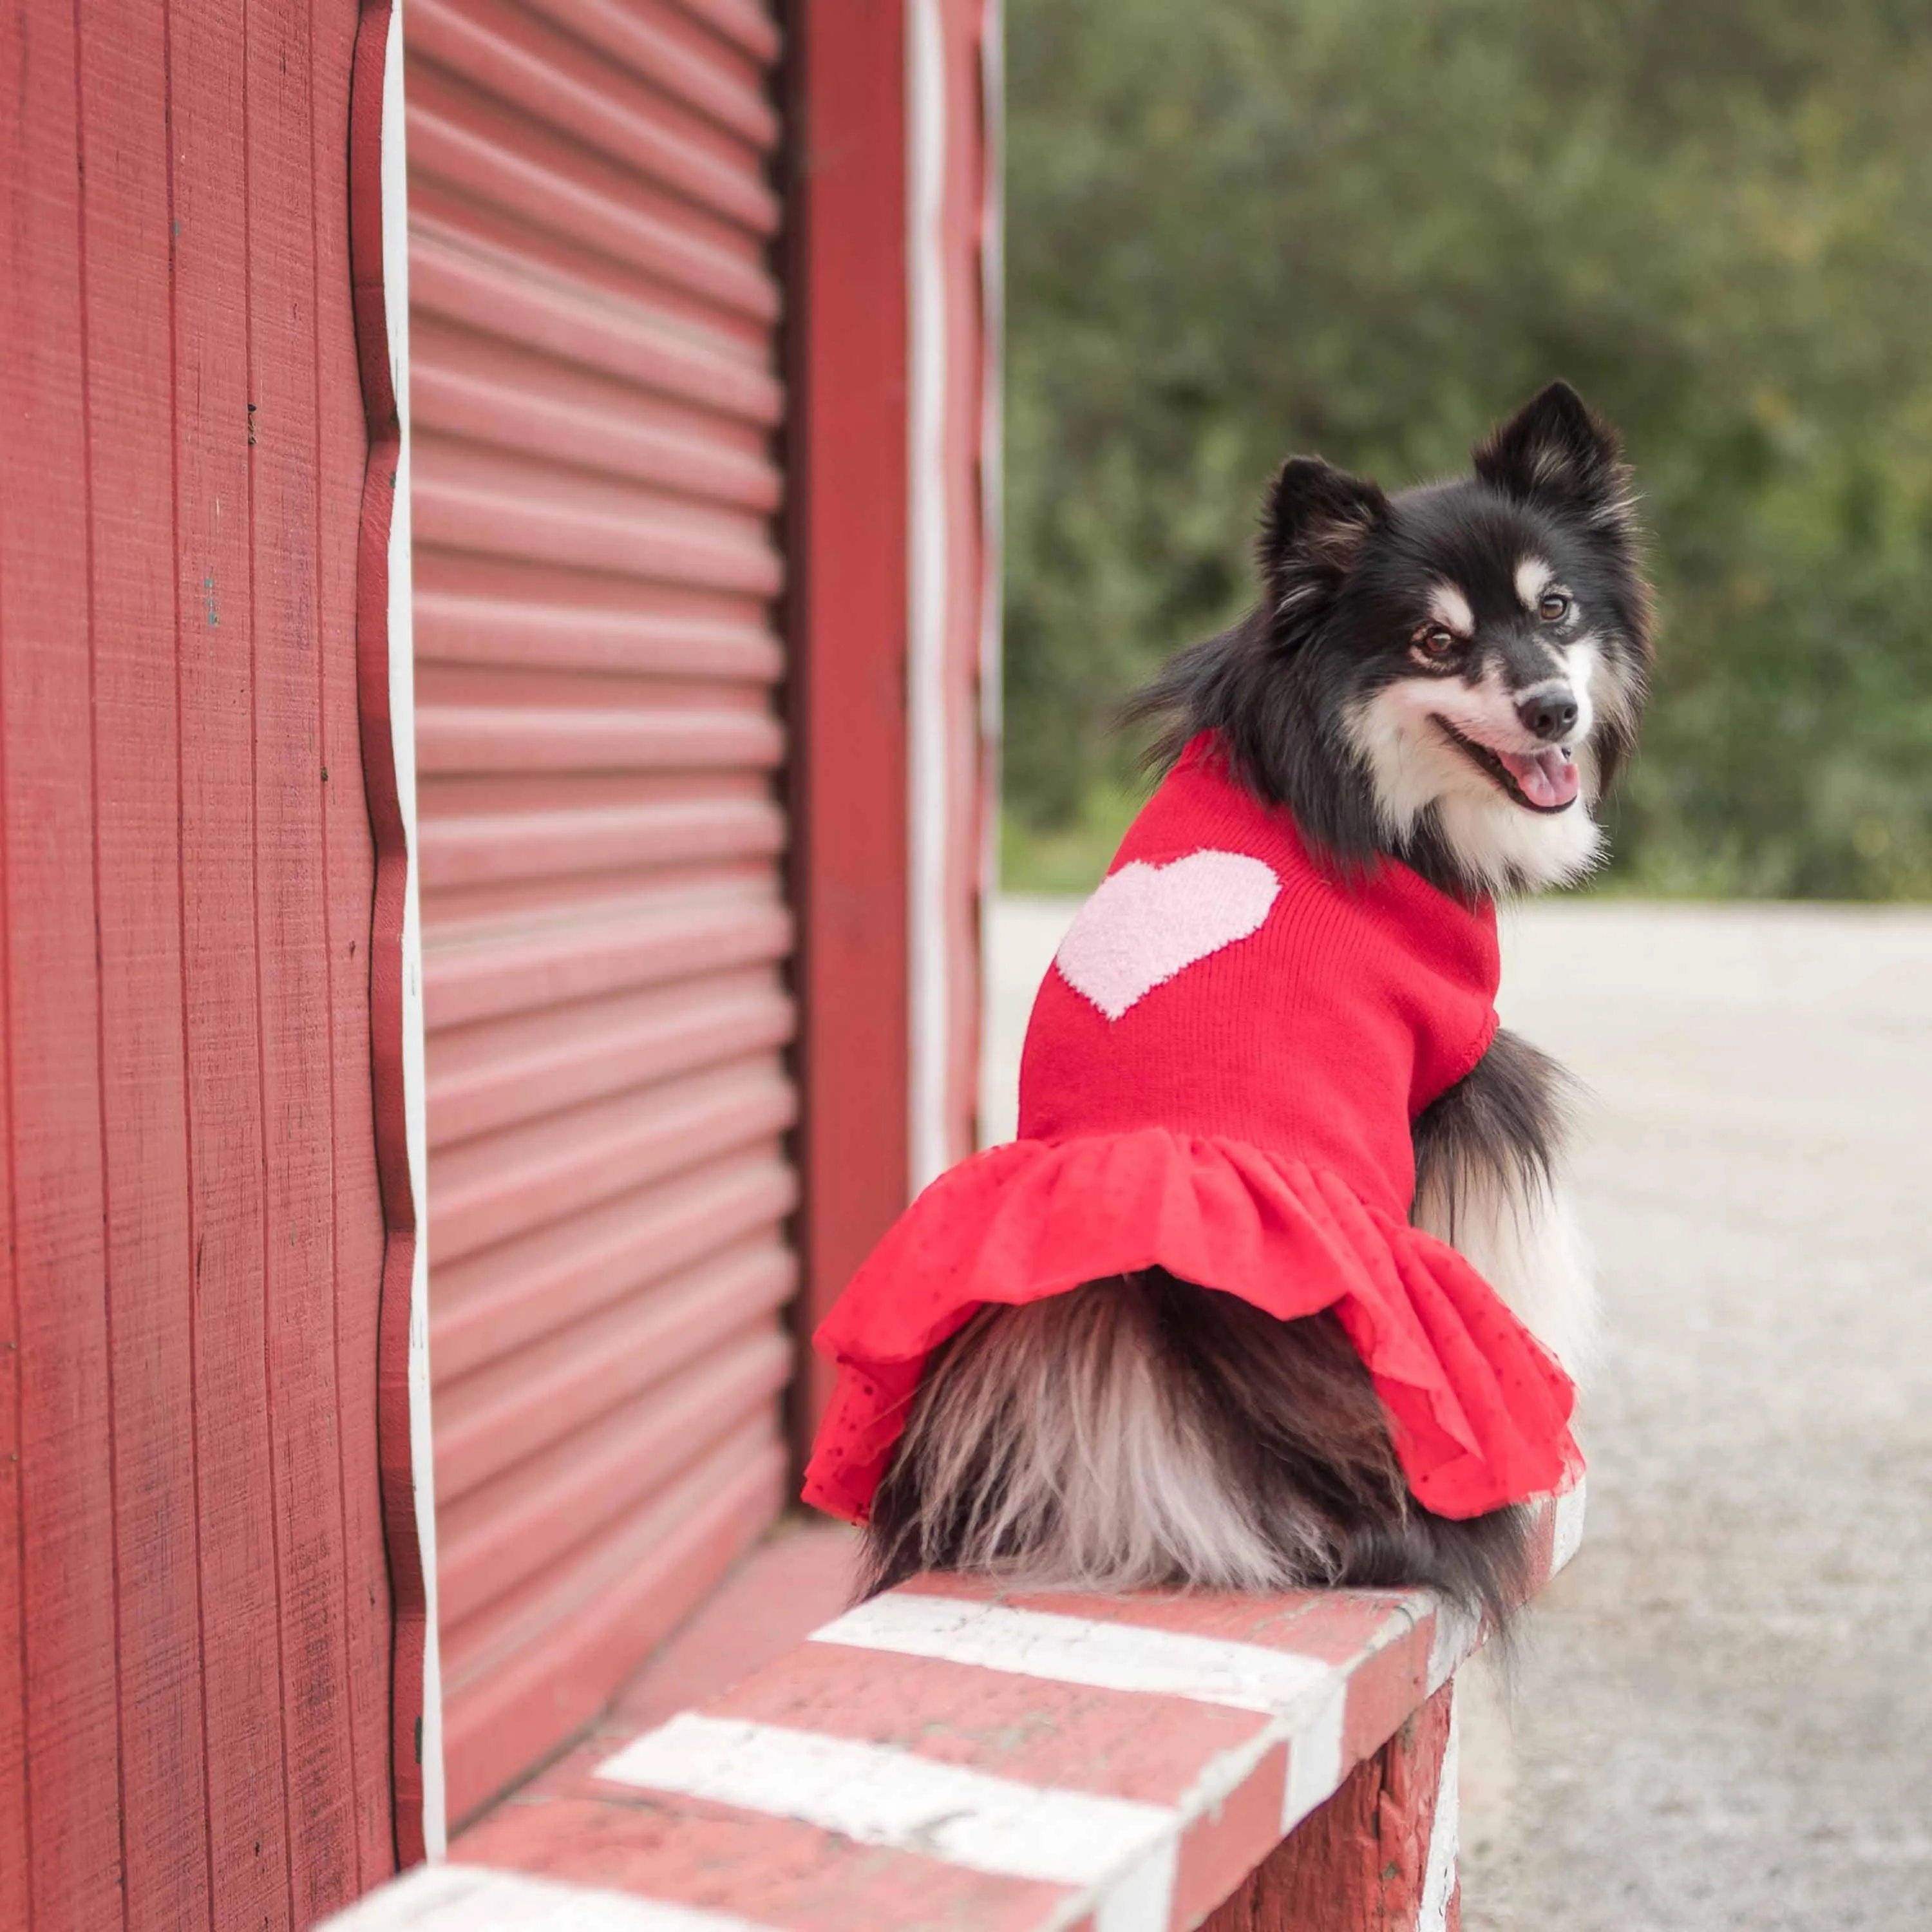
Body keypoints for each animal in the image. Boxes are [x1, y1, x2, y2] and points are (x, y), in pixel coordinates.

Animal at [866, 384, 1662, 1623]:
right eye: (1437, 642)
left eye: (1556, 607)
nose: (1553, 709)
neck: (1337, 773)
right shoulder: (1464, 1076)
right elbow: (1501, 1254)